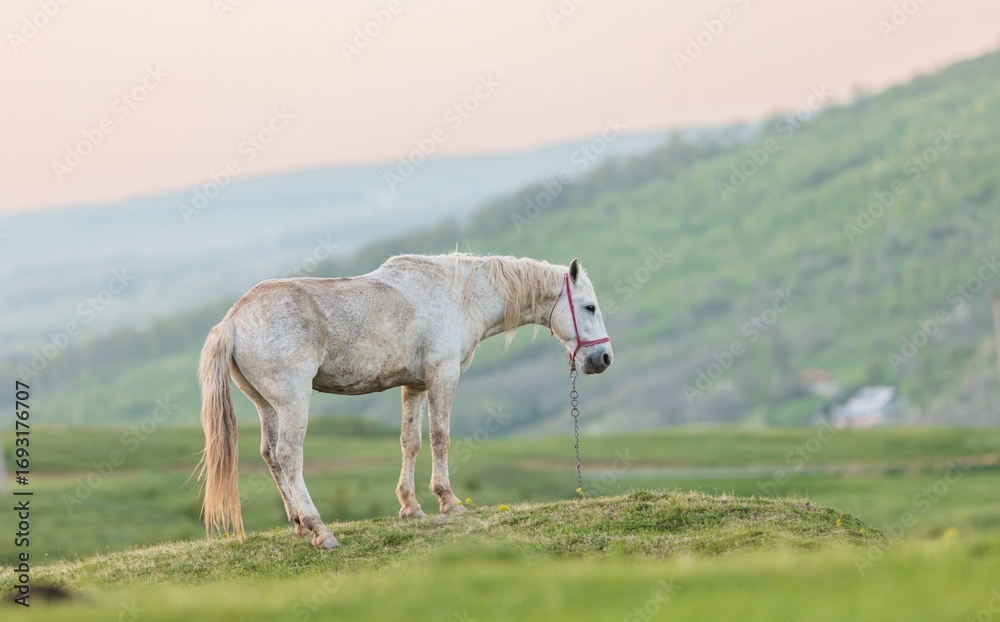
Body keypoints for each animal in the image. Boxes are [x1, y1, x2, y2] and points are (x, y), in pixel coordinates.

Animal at [196, 252, 613, 549]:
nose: (603, 358)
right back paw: (320, 530)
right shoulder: (443, 376)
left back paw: (299, 526)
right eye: (590, 307)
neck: (458, 297)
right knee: (288, 456)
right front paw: (449, 502)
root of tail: (233, 321)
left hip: (266, 405)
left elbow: (409, 442)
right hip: (293, 401)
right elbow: (441, 437)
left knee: (270, 456)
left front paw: (411, 507)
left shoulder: (414, 385)